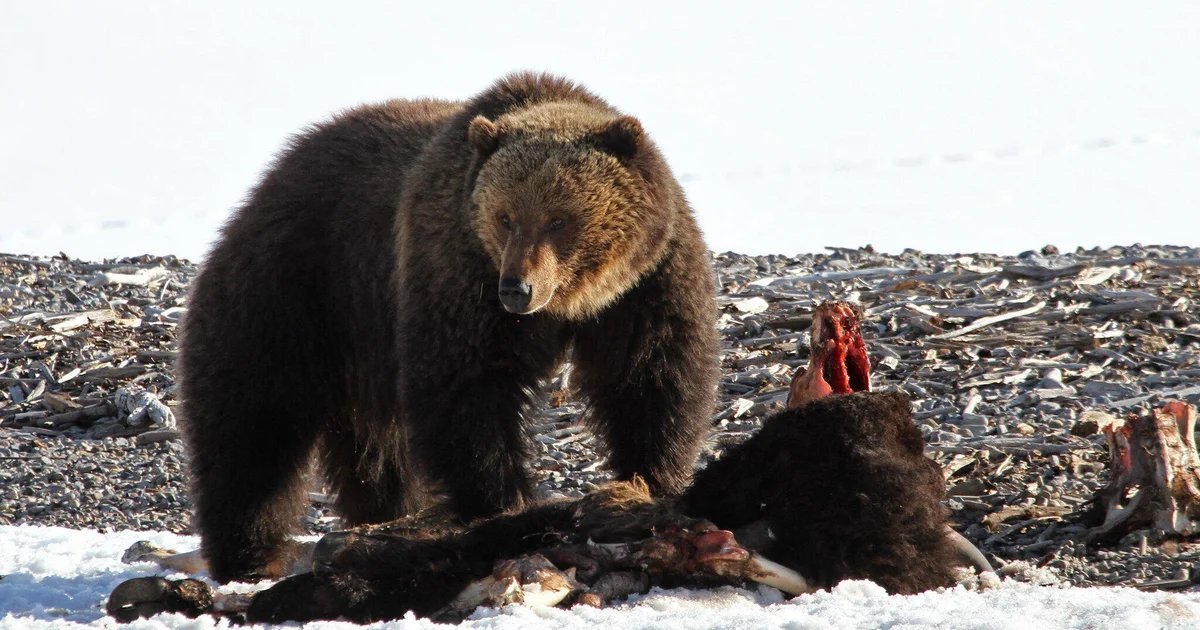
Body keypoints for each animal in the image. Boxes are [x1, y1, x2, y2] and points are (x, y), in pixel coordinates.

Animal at [178, 73, 721, 583]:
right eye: (505, 217)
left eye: (559, 219)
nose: (517, 289)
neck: (573, 303)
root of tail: (273, 174)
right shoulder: (457, 270)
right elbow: (467, 388)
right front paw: (502, 503)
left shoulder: (647, 283)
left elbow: (652, 377)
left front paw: (646, 484)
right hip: (297, 289)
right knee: (253, 423)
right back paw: (249, 554)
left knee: (376, 450)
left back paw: (383, 514)